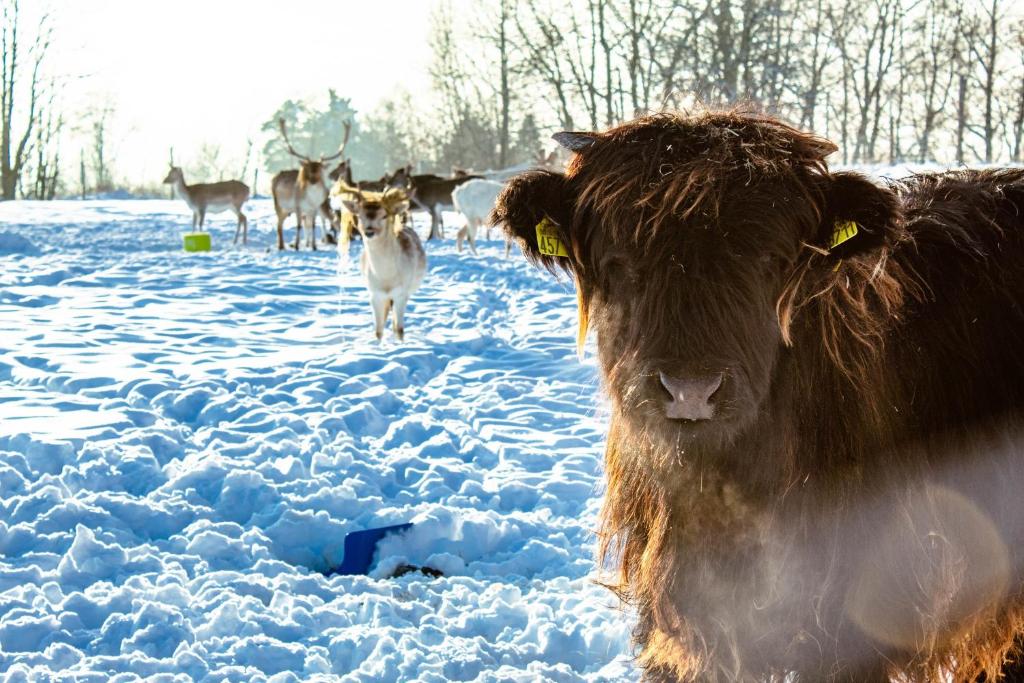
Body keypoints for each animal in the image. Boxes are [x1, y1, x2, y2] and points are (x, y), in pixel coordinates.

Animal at [270, 118, 350, 250]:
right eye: (307, 169)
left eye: (319, 169)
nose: (313, 180)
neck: (311, 200)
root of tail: (275, 177)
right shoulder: (297, 206)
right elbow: (299, 226)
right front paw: (297, 246)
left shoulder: (314, 208)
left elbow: (312, 225)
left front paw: (314, 246)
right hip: (278, 204)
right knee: (279, 224)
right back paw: (281, 246)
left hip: (287, 210)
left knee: (281, 223)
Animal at [342, 184, 425, 342]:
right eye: (359, 215)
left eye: (384, 215)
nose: (369, 232)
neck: (386, 278)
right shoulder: (374, 294)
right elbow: (378, 330)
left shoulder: (401, 292)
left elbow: (400, 329)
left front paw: (400, 343)